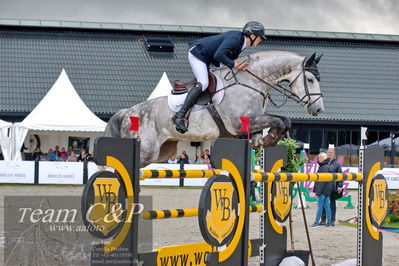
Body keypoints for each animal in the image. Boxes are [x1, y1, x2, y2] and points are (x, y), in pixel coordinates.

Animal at [105, 50, 324, 166]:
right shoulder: (240, 123)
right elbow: (279, 120)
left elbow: (284, 121)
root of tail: (127, 112)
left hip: (163, 151)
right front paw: (265, 140)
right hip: (146, 151)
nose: (319, 110)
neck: (252, 82)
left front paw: (263, 141)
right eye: (310, 79)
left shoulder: (257, 118)